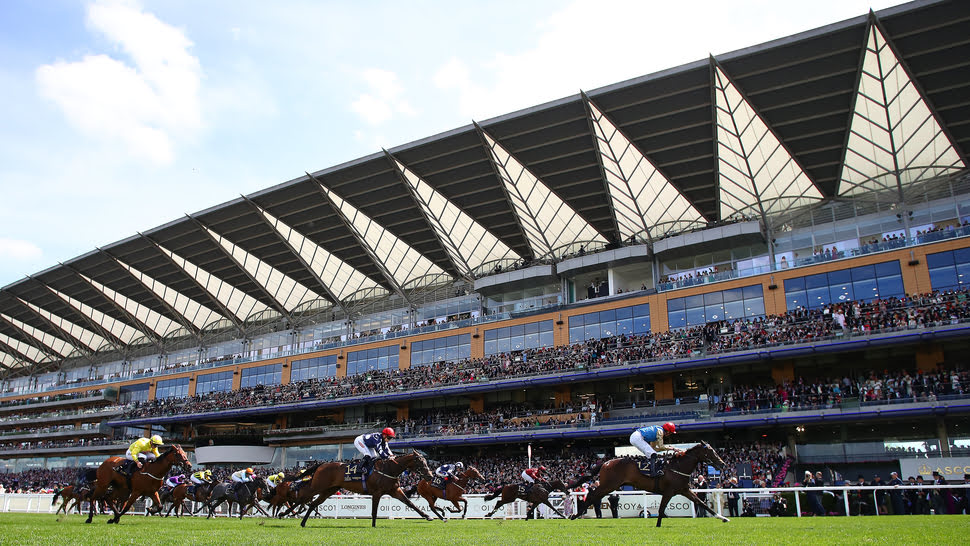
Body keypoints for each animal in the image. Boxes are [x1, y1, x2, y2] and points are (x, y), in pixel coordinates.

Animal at [286, 448, 432, 524]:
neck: (389, 469)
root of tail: (321, 464)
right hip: (317, 486)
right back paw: (286, 513)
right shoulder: (377, 492)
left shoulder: (394, 490)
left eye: (426, 461)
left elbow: (410, 503)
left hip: (329, 490)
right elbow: (374, 511)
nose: (430, 476)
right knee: (302, 498)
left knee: (312, 503)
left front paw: (427, 516)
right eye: (420, 462)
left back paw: (302, 522)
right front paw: (373, 525)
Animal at [568, 440, 728, 524]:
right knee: (592, 495)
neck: (677, 467)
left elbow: (701, 503)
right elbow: (661, 509)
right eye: (711, 451)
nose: (722, 464)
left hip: (610, 485)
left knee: (593, 495)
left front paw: (722, 517)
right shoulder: (669, 492)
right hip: (609, 485)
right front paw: (658, 524)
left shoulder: (684, 490)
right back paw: (575, 515)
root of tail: (606, 462)